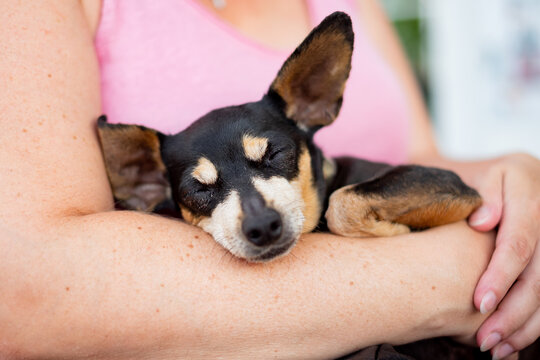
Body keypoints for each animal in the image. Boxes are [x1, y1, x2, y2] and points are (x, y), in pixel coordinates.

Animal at [98, 11, 480, 262]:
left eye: (275, 155)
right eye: (198, 190)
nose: (263, 226)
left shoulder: (456, 187)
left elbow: (341, 202)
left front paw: (395, 231)